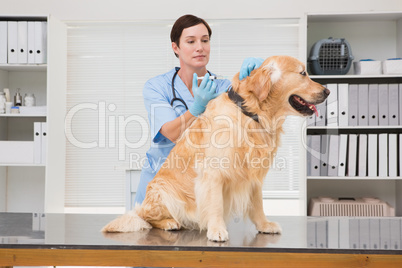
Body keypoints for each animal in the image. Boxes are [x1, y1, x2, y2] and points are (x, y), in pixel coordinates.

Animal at [101, 55, 330, 242]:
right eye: (303, 73)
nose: (327, 91)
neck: (250, 114)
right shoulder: (213, 172)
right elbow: (216, 204)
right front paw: (217, 230)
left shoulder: (254, 174)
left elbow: (257, 204)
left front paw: (264, 225)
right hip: (162, 190)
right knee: (145, 218)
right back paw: (169, 222)